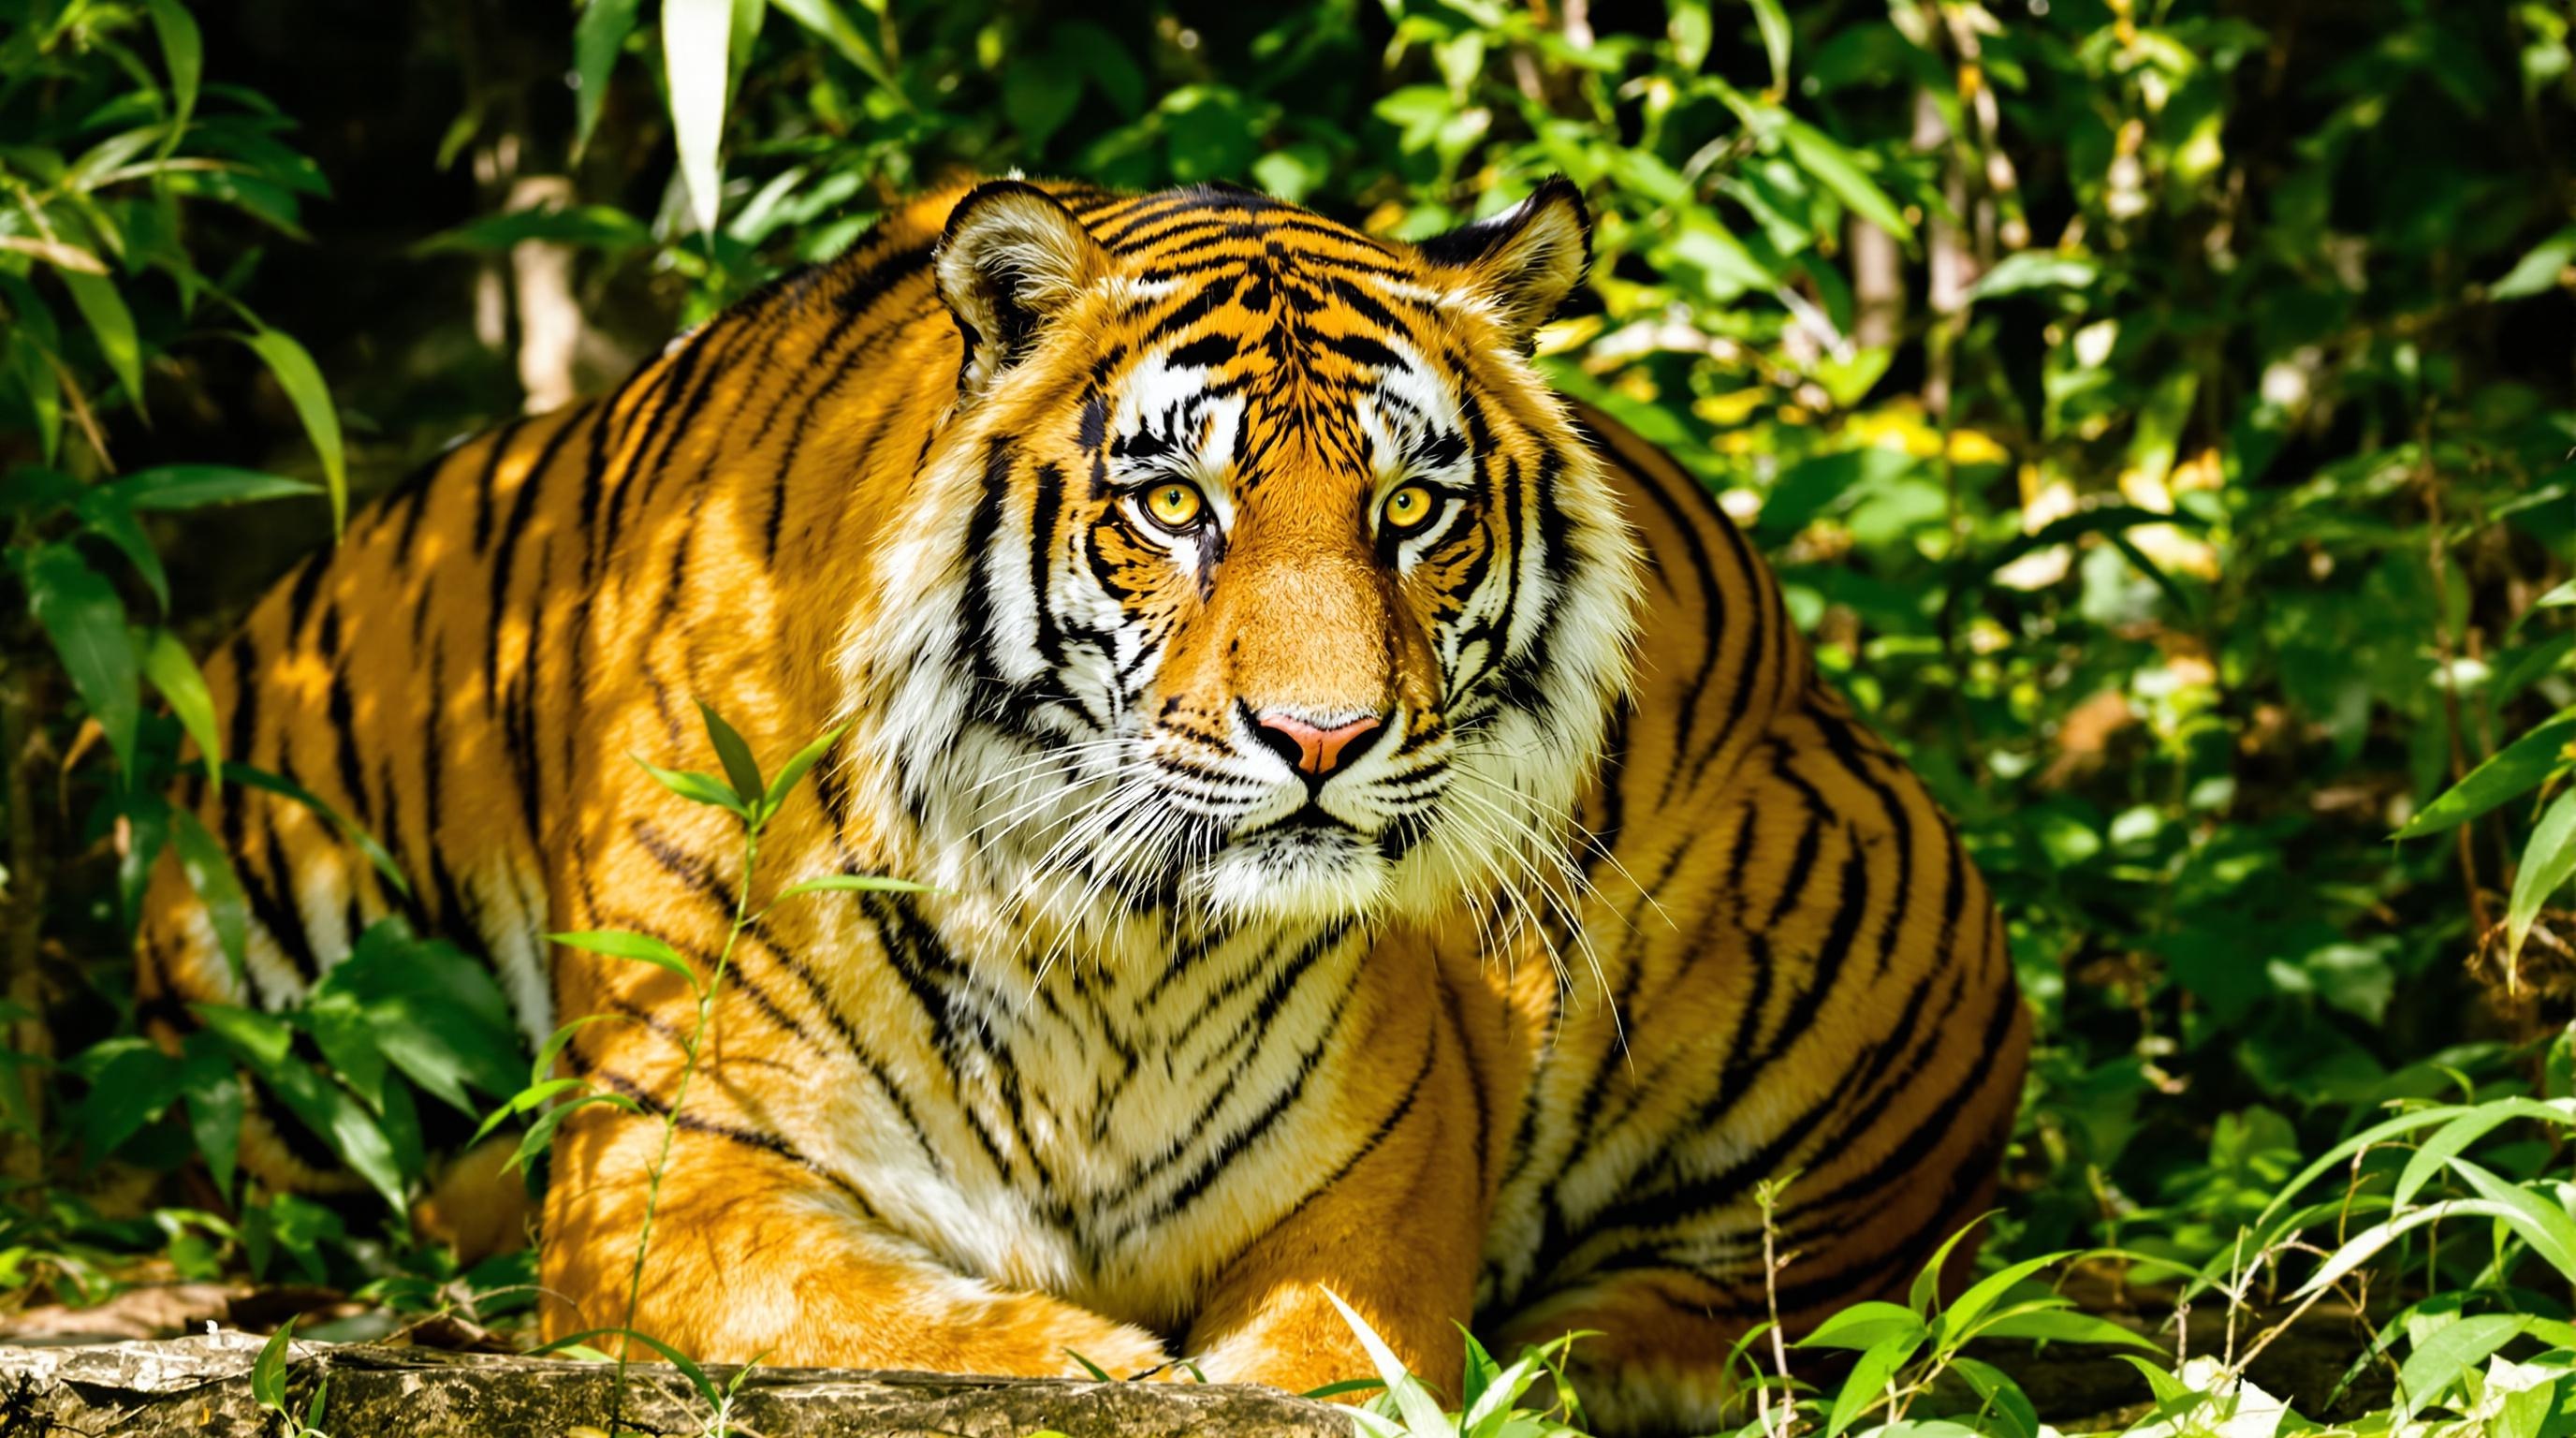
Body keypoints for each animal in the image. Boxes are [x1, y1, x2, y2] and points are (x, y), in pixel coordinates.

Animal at [135, 175, 2028, 1435]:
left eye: (1413, 506)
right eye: (1176, 504)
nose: (1324, 738)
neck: (1113, 945)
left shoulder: (1377, 1195)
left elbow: (1332, 1362)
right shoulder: (661, 1174)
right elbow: (848, 1307)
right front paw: (1084, 1360)